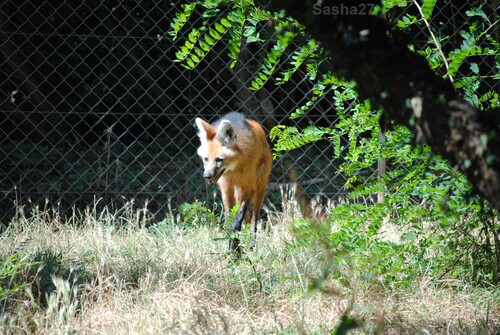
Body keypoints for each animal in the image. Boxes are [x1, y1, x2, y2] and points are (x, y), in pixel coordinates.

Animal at [195, 113, 274, 252]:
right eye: (206, 159)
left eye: (219, 160)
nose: (206, 176)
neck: (235, 169)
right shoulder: (226, 189)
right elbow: (229, 217)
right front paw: (234, 248)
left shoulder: (250, 187)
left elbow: (238, 218)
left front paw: (234, 245)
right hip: (239, 191)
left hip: (260, 187)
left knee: (253, 221)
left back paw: (252, 246)